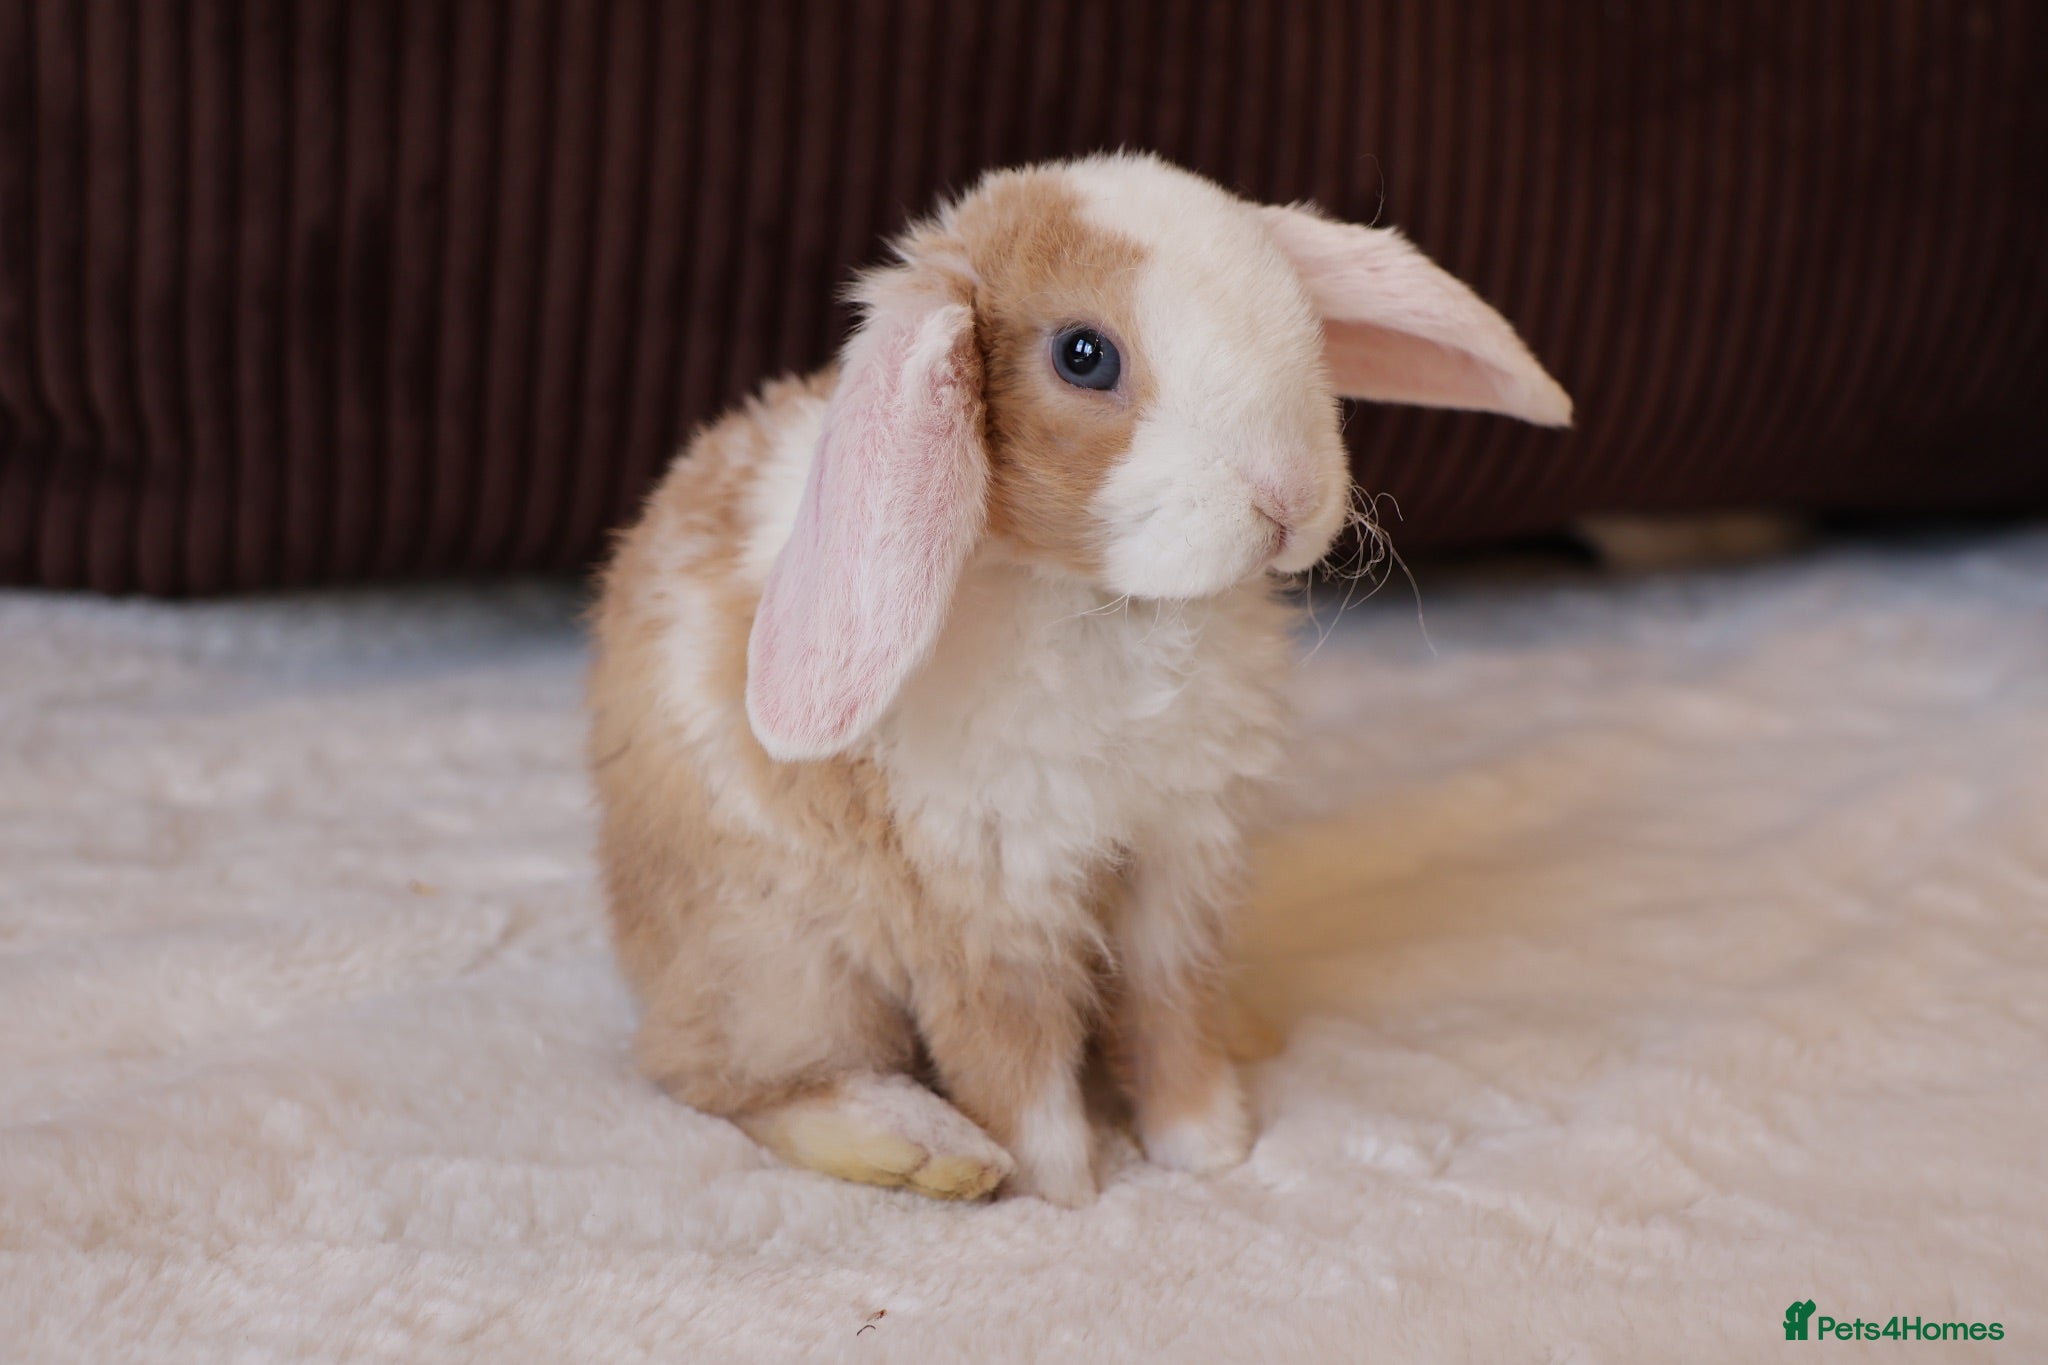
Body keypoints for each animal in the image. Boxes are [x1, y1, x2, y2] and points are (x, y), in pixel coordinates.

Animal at [587, 152, 1571, 1206]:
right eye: (1084, 356)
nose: (1289, 496)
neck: (1105, 602)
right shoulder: (987, 904)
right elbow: (1013, 1058)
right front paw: (1063, 1191)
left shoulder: (1177, 868)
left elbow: (1172, 1011)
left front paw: (1208, 1147)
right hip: (784, 965)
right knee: (720, 1074)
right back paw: (928, 1151)